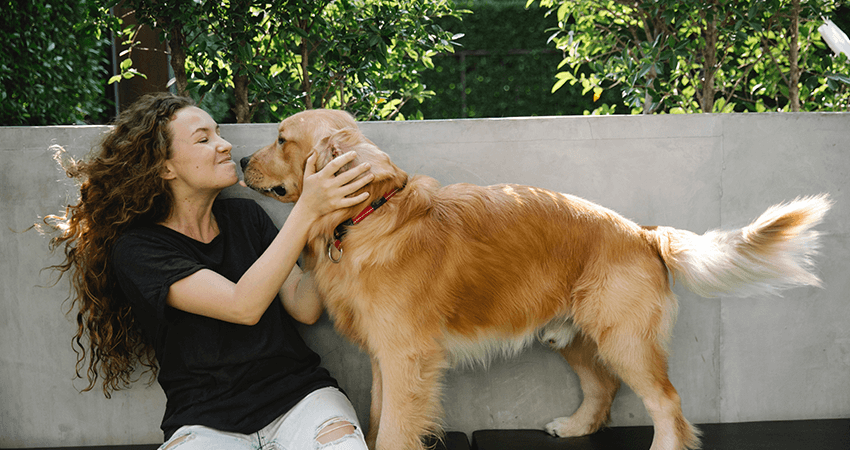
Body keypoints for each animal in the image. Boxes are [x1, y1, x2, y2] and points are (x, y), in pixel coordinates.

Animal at [240, 109, 830, 450]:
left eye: (281, 138)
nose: (242, 157)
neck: (369, 217)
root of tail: (642, 232)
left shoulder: (407, 356)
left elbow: (392, 430)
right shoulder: (384, 358)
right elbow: (378, 415)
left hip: (624, 339)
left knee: (668, 404)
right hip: (572, 336)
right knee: (603, 388)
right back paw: (574, 428)